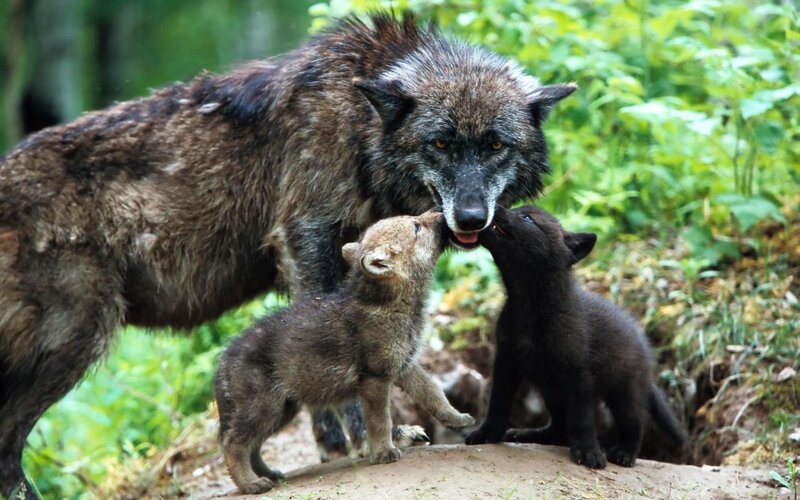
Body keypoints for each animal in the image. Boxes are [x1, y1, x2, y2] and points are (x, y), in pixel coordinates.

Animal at [215, 211, 474, 493]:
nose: (440, 213)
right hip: (264, 407)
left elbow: (434, 394)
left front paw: (457, 418)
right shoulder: (375, 378)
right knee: (233, 445)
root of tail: (222, 362)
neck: (390, 305)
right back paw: (252, 484)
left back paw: (270, 475)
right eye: (416, 227)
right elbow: (380, 420)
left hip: (282, 409)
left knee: (251, 446)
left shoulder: (405, 367)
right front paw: (384, 453)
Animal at [465, 206, 686, 468]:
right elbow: (498, 404)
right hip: (552, 390)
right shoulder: (506, 362)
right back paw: (529, 434)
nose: (495, 207)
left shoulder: (577, 373)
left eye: (527, 218)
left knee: (634, 423)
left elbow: (582, 420)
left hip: (625, 392)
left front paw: (589, 452)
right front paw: (487, 434)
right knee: (559, 427)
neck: (529, 308)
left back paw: (625, 454)